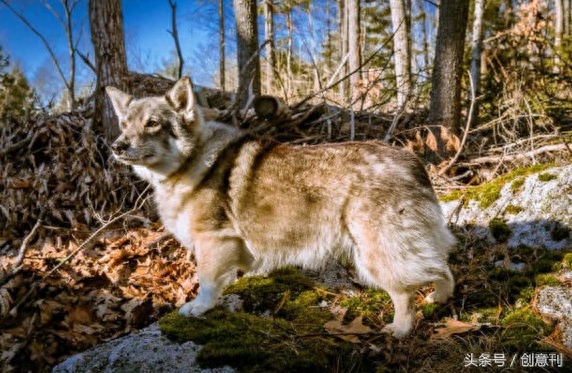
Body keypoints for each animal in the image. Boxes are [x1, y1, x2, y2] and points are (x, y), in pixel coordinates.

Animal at [107, 75, 456, 338]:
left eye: (152, 124)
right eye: (124, 124)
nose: (116, 146)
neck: (189, 162)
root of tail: (413, 163)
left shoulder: (212, 241)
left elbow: (207, 281)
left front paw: (199, 307)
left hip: (375, 253)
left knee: (405, 292)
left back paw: (400, 329)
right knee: (442, 268)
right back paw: (439, 299)